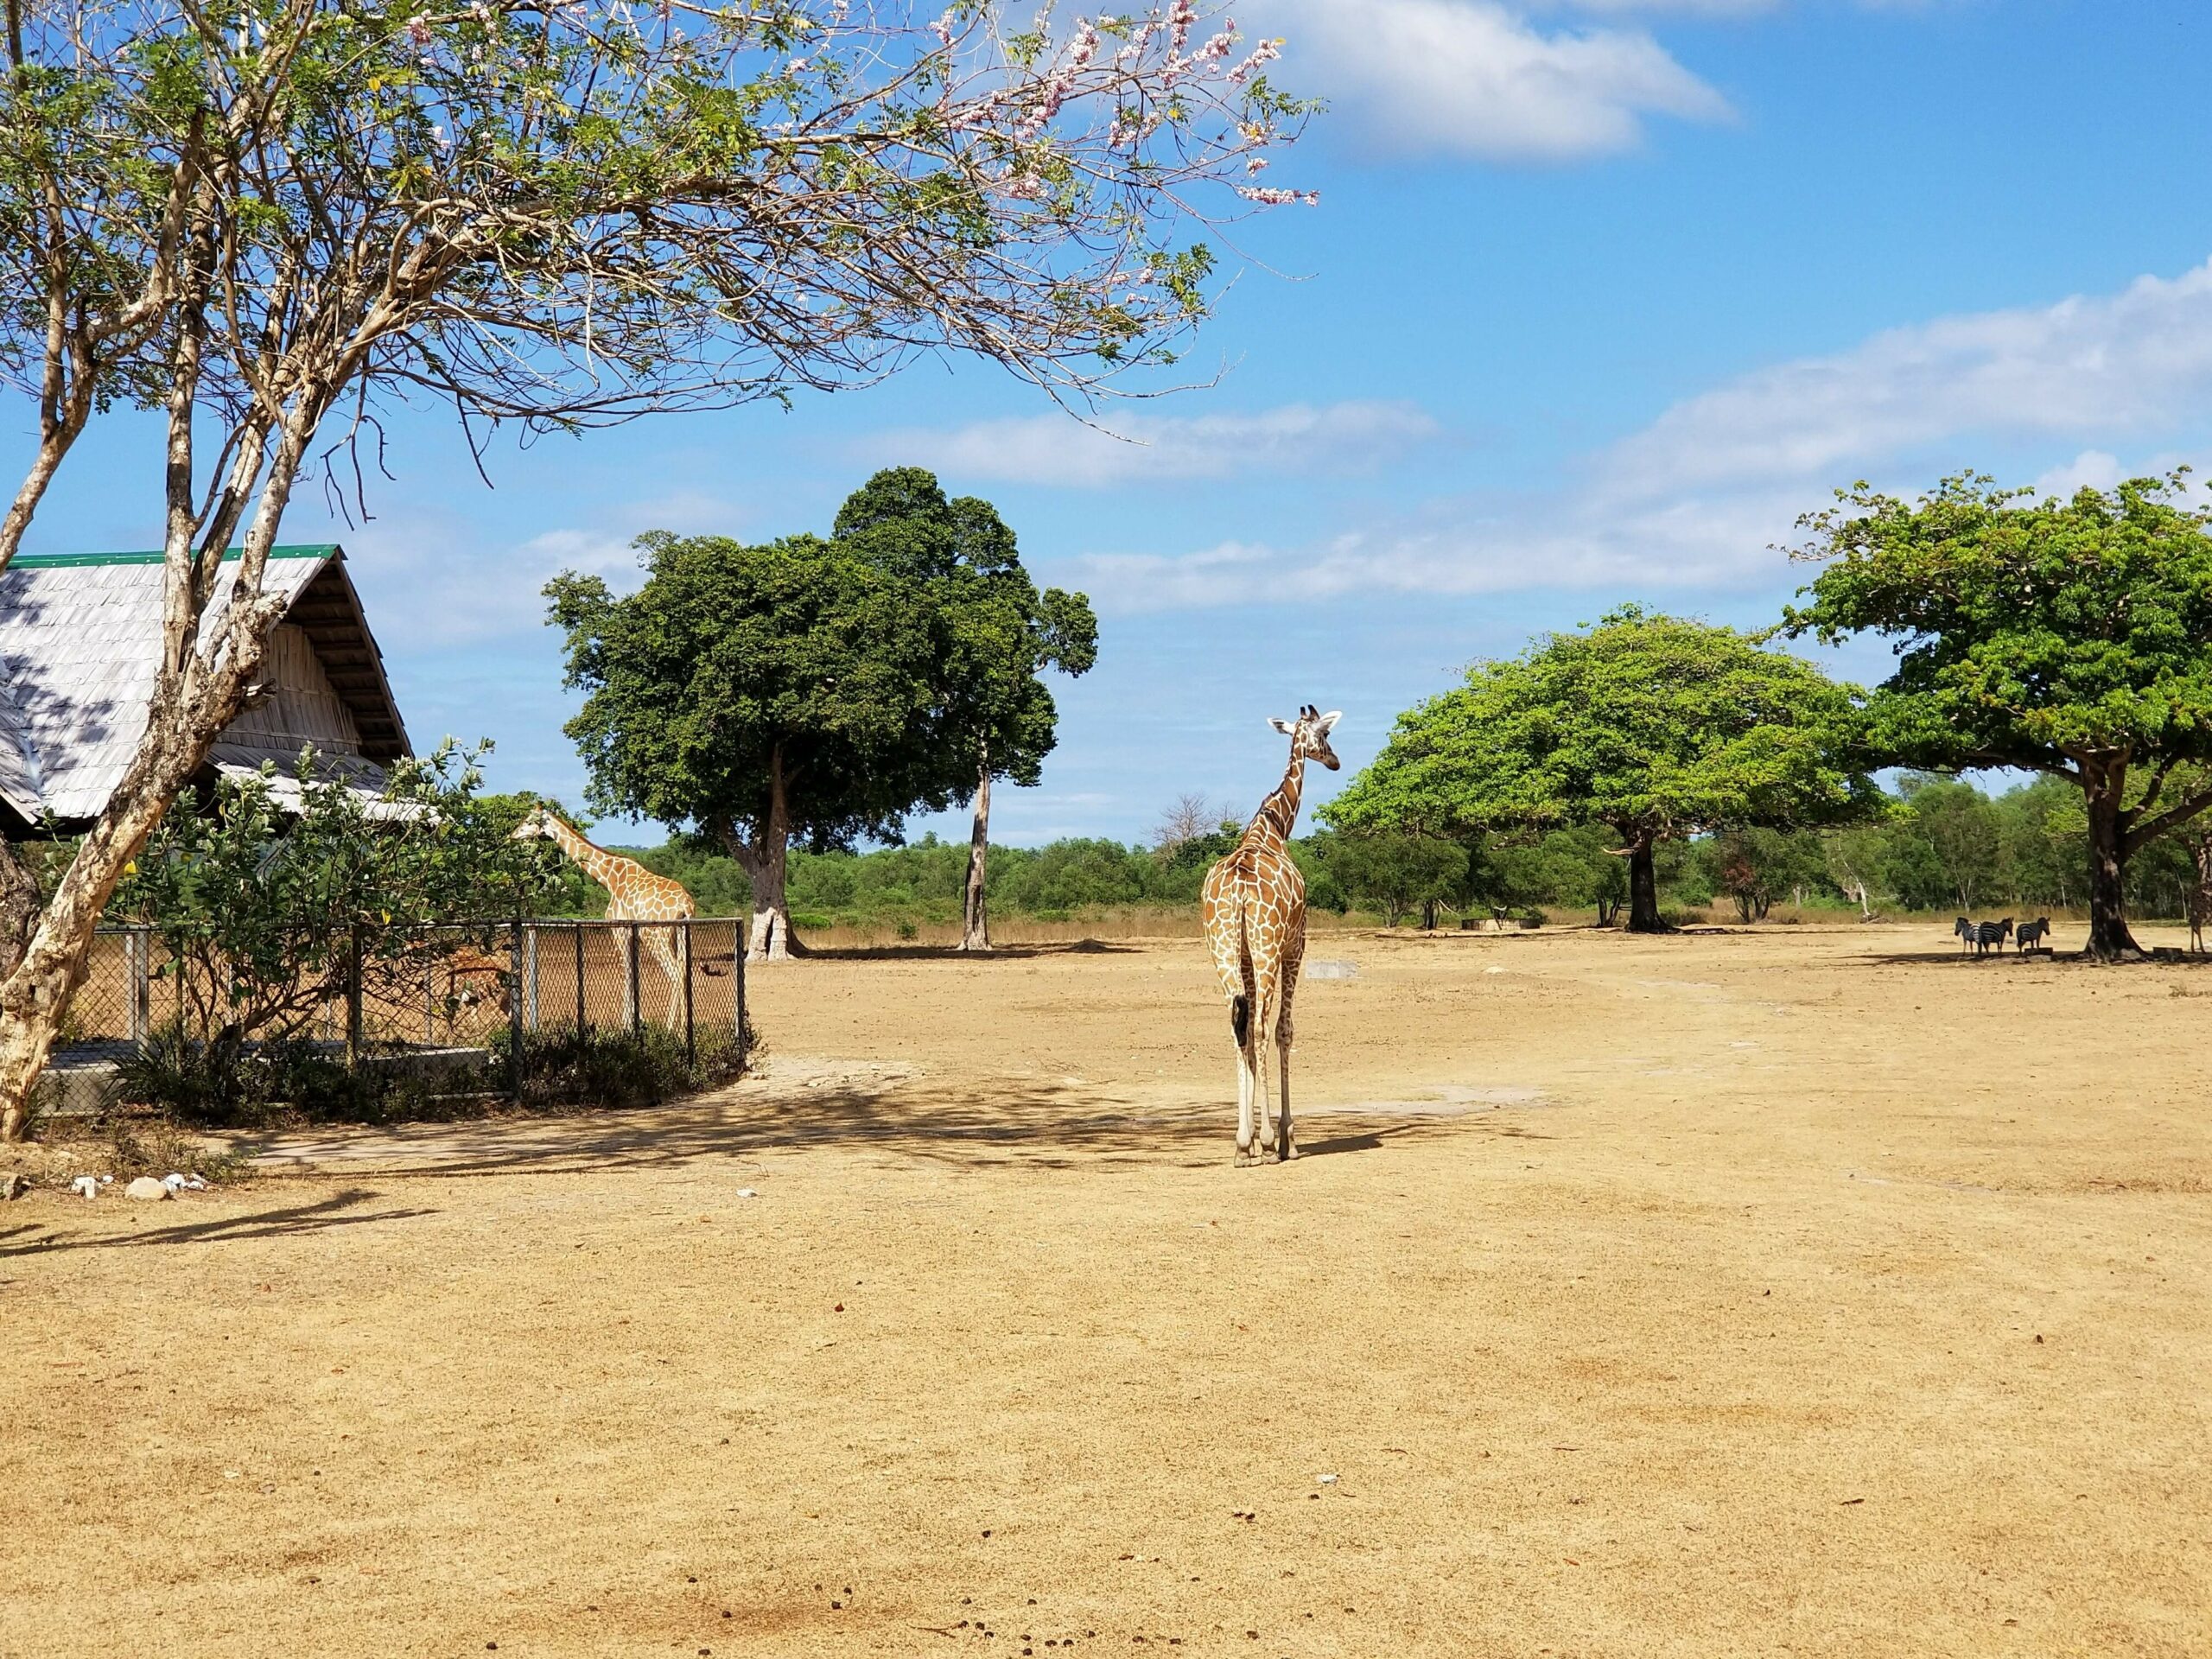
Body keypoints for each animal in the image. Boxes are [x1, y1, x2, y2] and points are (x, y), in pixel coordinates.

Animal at [515, 814, 694, 1035]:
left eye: (529, 820)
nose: (513, 835)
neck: (609, 877)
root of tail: (685, 905)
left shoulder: (619, 929)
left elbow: (628, 973)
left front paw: (628, 1026)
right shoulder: (630, 931)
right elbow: (633, 972)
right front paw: (634, 1022)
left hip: (655, 935)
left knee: (675, 973)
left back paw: (671, 1030)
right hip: (680, 932)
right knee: (684, 971)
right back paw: (683, 1030)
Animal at [1203, 703, 1336, 1167]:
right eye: (1325, 735)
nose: (1335, 761)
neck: (1274, 828)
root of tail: (1240, 889)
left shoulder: (1243, 957)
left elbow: (1246, 1032)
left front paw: (1252, 1141)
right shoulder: (1296, 945)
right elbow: (1284, 1031)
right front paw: (1285, 1139)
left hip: (1223, 951)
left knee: (1237, 1026)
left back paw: (1242, 1145)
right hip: (1266, 950)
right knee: (1260, 1028)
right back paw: (1262, 1142)